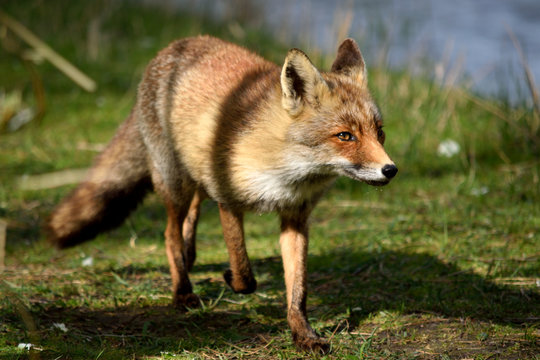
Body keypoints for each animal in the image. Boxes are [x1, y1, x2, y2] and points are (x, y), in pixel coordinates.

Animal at [47, 35, 396, 352]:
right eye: (345, 136)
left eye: (379, 133)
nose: (390, 170)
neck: (287, 173)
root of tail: (175, 45)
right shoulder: (228, 202)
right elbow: (243, 270)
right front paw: (232, 279)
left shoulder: (296, 218)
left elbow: (298, 291)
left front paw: (303, 336)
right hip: (175, 183)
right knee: (170, 233)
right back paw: (182, 290)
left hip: (195, 177)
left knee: (191, 213)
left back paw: (189, 256)